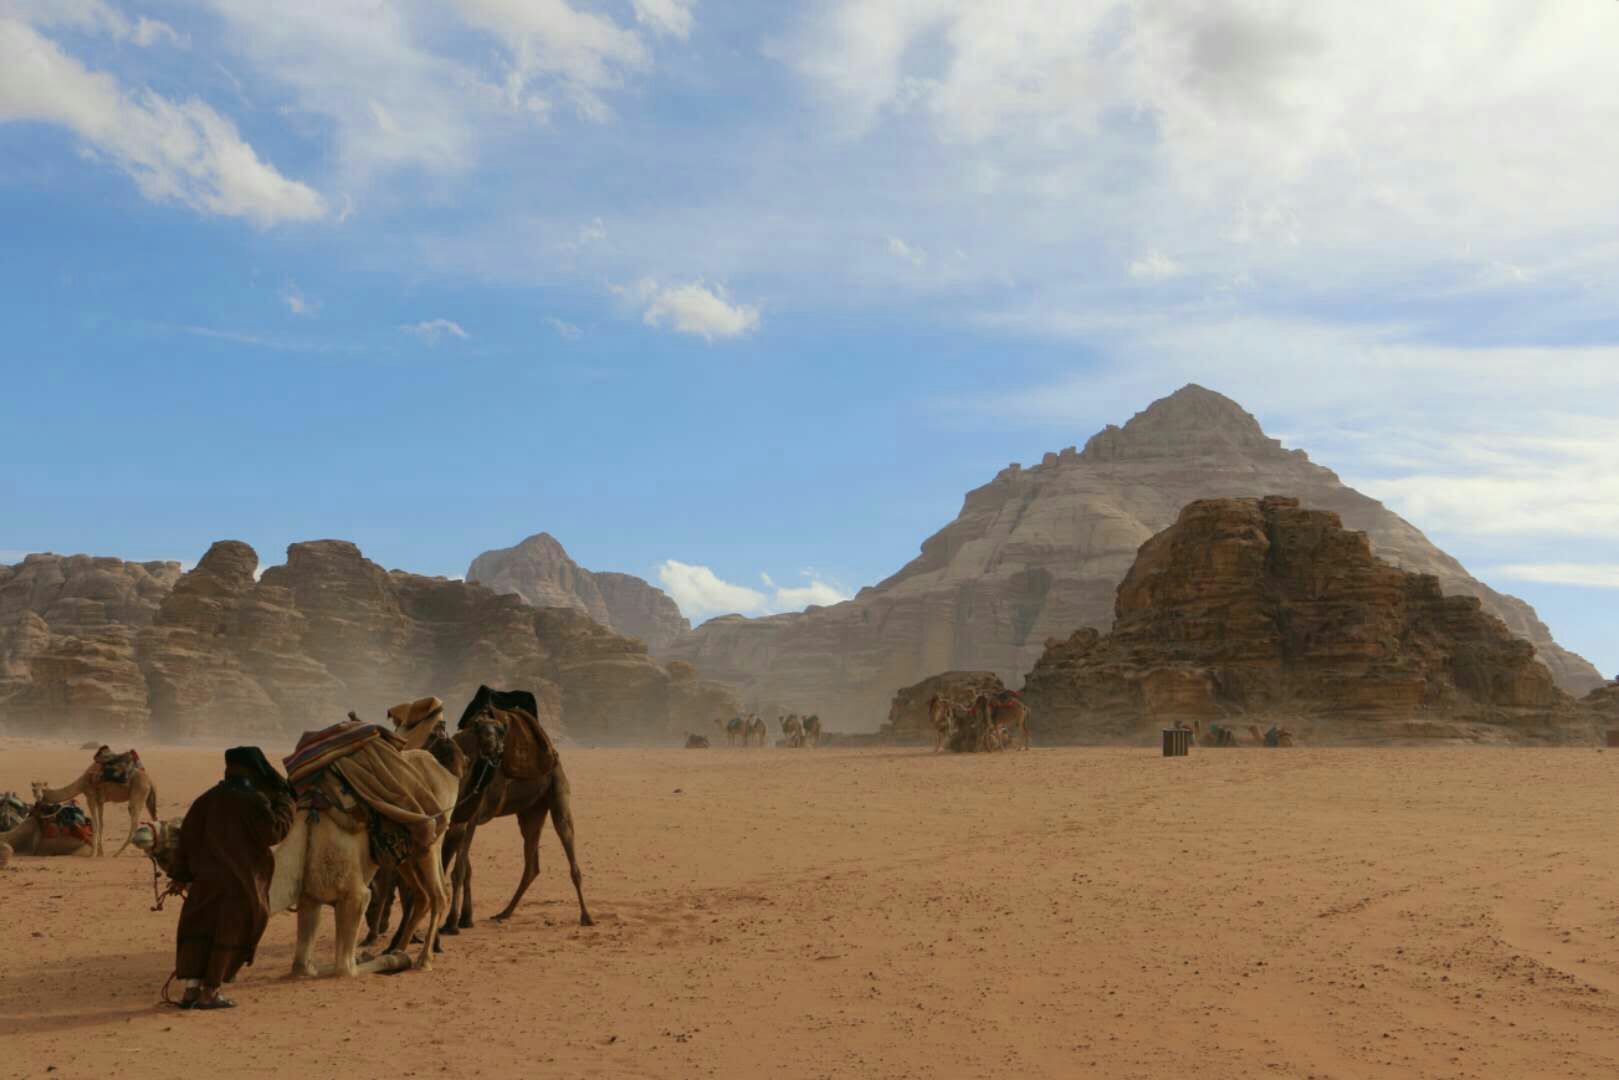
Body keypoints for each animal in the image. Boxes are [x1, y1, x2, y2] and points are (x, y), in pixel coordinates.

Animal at [443, 693, 595, 939]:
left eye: (502, 729)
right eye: (478, 728)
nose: (492, 747)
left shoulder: (469, 817)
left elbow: (459, 869)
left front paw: (451, 923)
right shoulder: (455, 818)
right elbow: (464, 867)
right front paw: (465, 919)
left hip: (557, 790)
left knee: (567, 843)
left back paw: (587, 916)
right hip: (531, 811)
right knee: (532, 863)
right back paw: (504, 912)